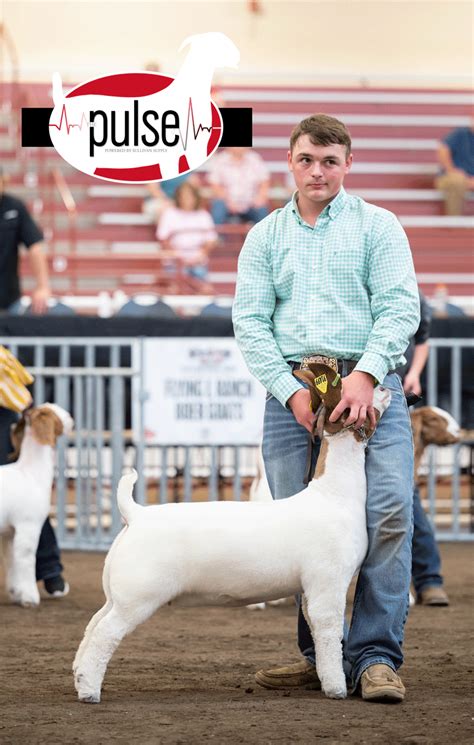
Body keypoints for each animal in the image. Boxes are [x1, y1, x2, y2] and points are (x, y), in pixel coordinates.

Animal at [0, 404, 73, 608]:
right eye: (51, 412)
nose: (70, 417)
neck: (30, 472)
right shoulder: (28, 526)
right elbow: (26, 560)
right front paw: (30, 598)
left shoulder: (10, 533)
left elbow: (12, 561)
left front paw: (16, 592)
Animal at [74, 364, 390, 704]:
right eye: (352, 391)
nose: (385, 387)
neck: (334, 494)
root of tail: (136, 514)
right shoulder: (328, 584)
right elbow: (330, 635)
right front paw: (335, 687)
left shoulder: (311, 590)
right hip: (138, 597)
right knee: (104, 634)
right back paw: (89, 691)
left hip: (118, 595)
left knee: (92, 626)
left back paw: (79, 676)